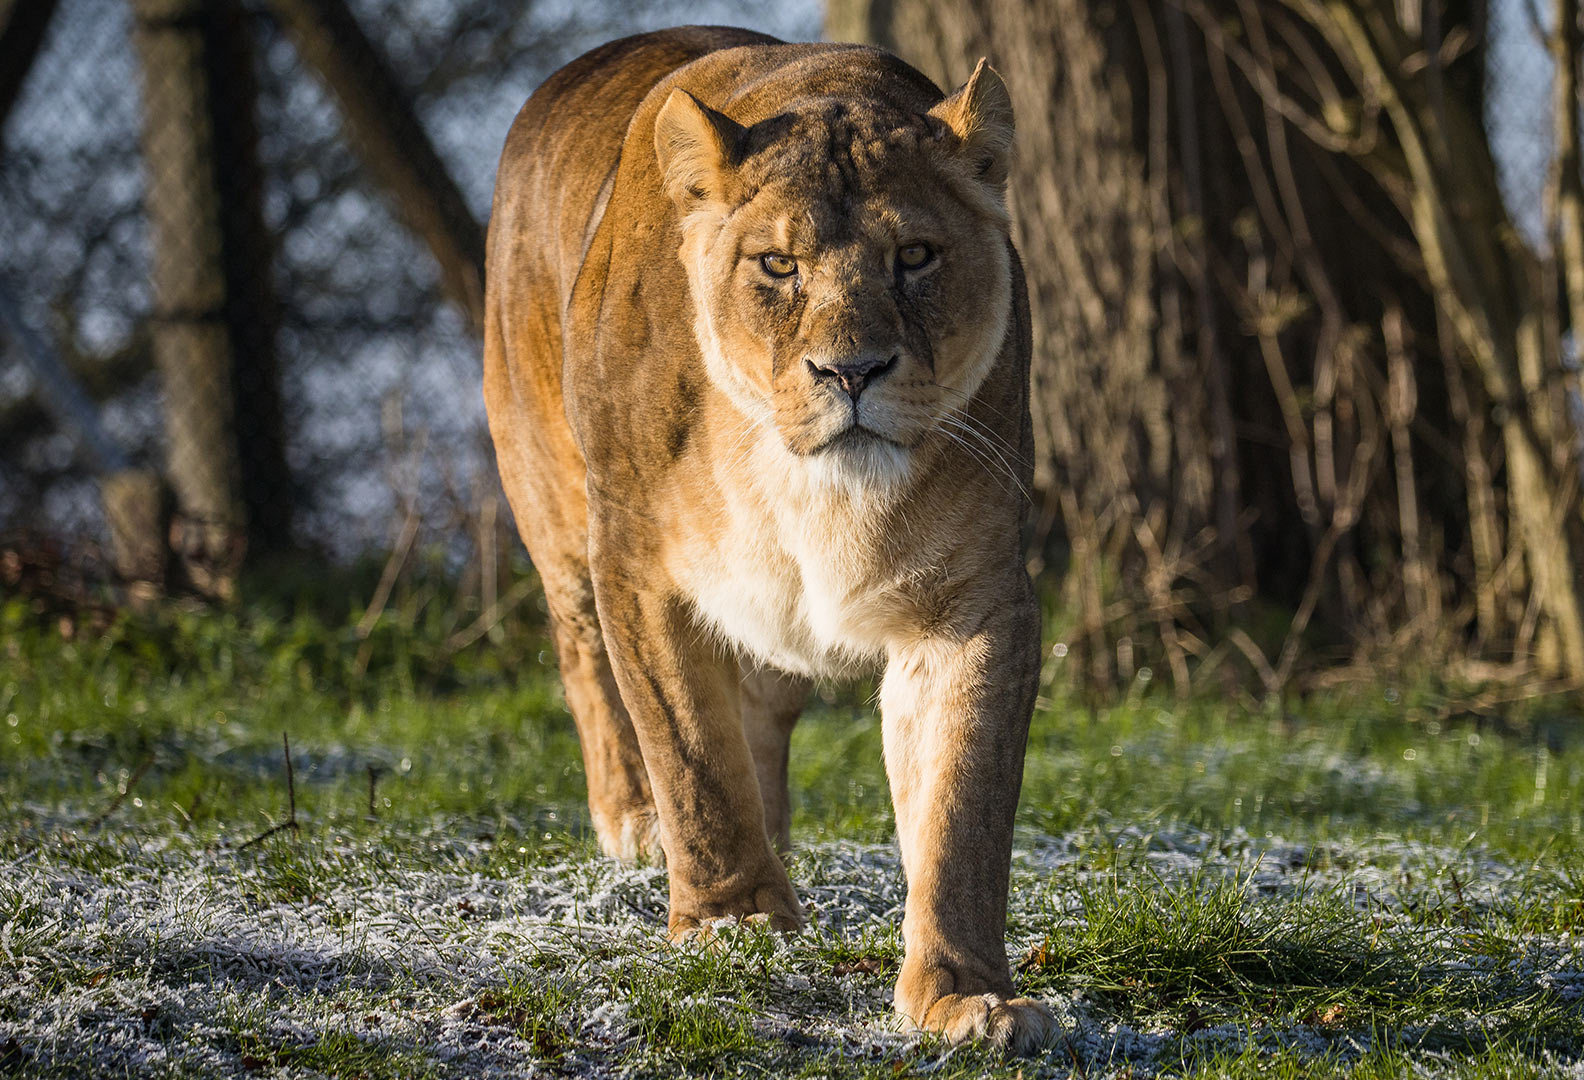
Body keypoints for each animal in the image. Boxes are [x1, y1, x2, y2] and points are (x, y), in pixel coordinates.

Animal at [483, 26, 1053, 1053]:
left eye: (916, 255)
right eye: (778, 266)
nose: (852, 370)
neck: (809, 487)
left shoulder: (975, 603)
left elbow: (961, 811)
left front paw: (964, 997)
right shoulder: (640, 571)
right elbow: (693, 763)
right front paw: (732, 921)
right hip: (553, 507)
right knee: (589, 670)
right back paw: (636, 826)